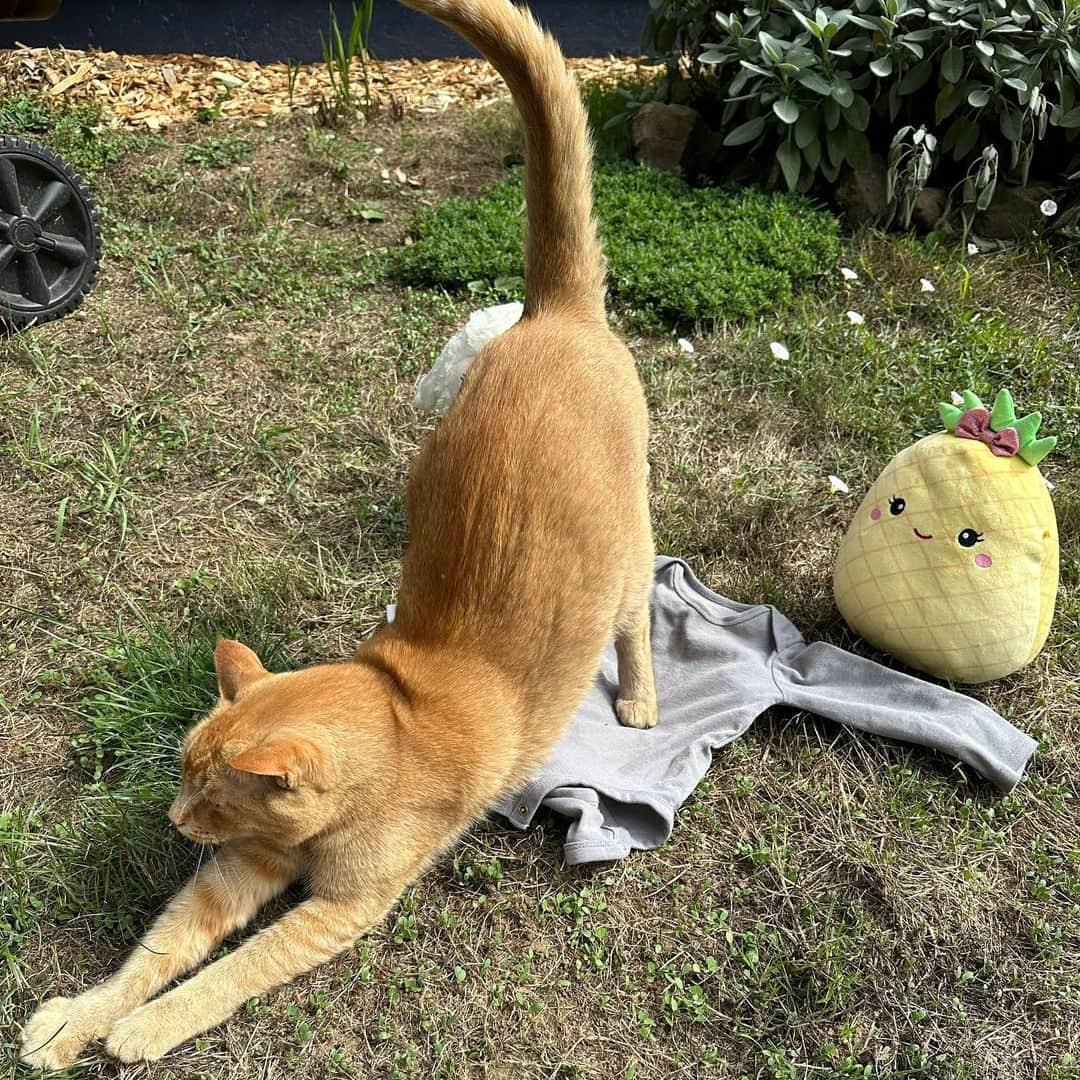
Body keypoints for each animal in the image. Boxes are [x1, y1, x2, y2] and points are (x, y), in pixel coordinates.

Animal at [19, 0, 656, 1067]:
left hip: (634, 547)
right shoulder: (236, 872)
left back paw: (643, 701)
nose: (174, 816)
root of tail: (554, 313)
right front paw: (78, 1018)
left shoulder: (337, 910)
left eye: (210, 797)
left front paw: (144, 1032)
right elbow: (157, 953)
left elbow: (225, 977)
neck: (399, 707)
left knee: (639, 616)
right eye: (183, 780)